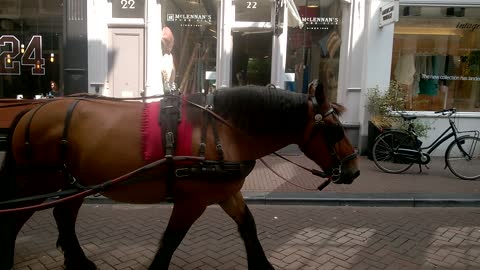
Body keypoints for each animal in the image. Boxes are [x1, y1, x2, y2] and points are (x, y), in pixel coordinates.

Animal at [0, 83, 358, 268]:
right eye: (335, 129)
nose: (354, 169)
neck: (224, 130)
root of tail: (29, 111)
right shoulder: (192, 201)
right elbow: (171, 241)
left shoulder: (226, 194)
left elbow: (249, 227)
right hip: (38, 183)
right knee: (16, 221)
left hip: (75, 183)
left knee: (63, 218)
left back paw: (81, 263)